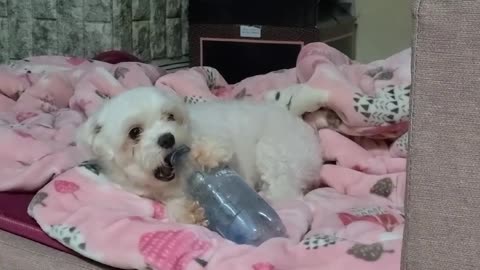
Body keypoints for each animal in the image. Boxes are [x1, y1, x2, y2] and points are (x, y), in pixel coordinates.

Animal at [77, 86, 324, 224]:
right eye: (134, 132)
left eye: (170, 116)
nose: (167, 139)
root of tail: (294, 117)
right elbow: (175, 204)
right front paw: (187, 212)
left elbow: (222, 153)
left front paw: (205, 153)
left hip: (275, 151)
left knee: (287, 191)